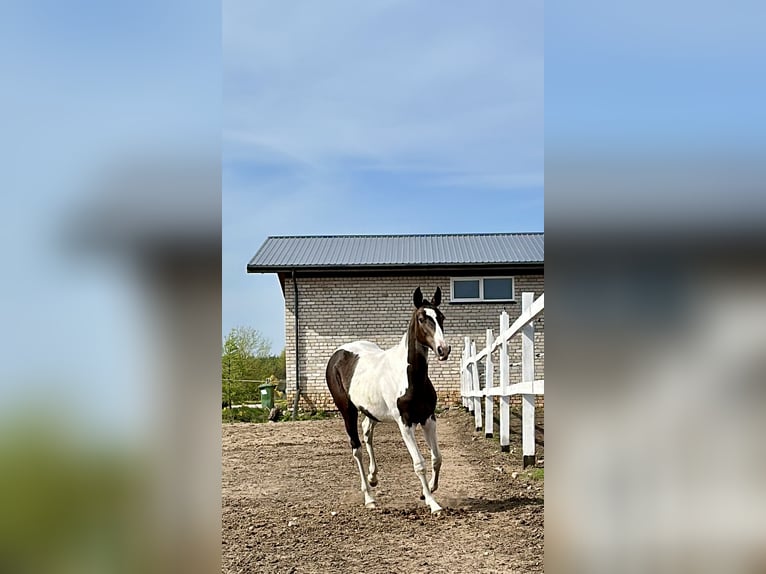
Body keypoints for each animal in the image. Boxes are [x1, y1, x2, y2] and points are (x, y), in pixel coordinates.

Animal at [324, 286, 450, 516]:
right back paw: (369, 497)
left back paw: (374, 478)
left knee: (367, 432)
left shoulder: (428, 418)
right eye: (421, 318)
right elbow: (419, 463)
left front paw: (428, 491)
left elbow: (437, 458)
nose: (443, 349)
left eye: (441, 317)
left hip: (370, 411)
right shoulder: (405, 423)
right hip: (347, 410)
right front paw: (433, 503)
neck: (410, 377)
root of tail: (338, 353)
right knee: (356, 448)